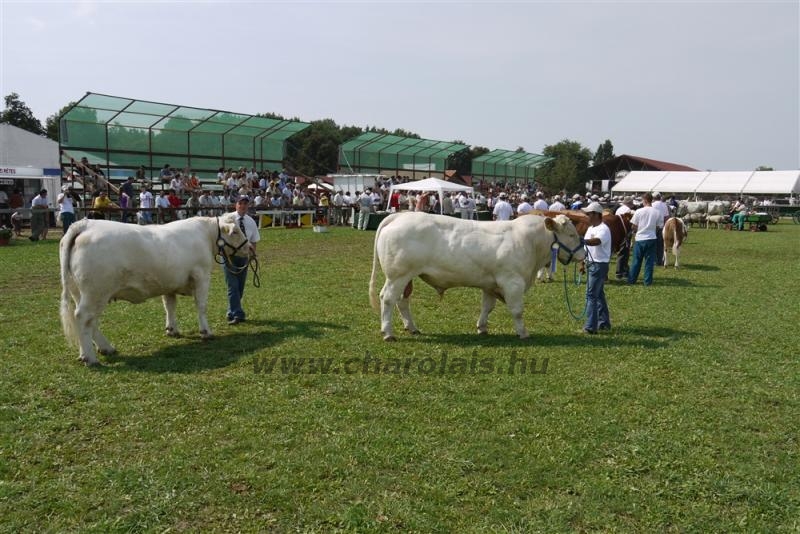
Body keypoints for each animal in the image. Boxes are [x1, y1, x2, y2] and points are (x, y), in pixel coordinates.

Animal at [60, 216, 247, 366]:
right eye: (236, 231)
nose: (250, 247)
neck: (205, 235)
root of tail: (85, 224)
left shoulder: (169, 283)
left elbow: (169, 305)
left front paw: (172, 330)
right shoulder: (202, 276)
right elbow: (201, 306)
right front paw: (206, 332)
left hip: (82, 292)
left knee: (90, 322)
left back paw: (102, 349)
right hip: (96, 292)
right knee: (84, 318)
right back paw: (90, 358)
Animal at [366, 213, 584, 342]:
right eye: (572, 234)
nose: (583, 254)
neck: (531, 243)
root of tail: (399, 215)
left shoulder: (490, 285)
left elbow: (487, 307)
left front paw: (482, 328)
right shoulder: (512, 282)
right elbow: (517, 311)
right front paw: (523, 333)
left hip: (407, 277)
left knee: (402, 301)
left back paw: (412, 328)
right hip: (398, 275)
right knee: (388, 298)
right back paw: (388, 333)